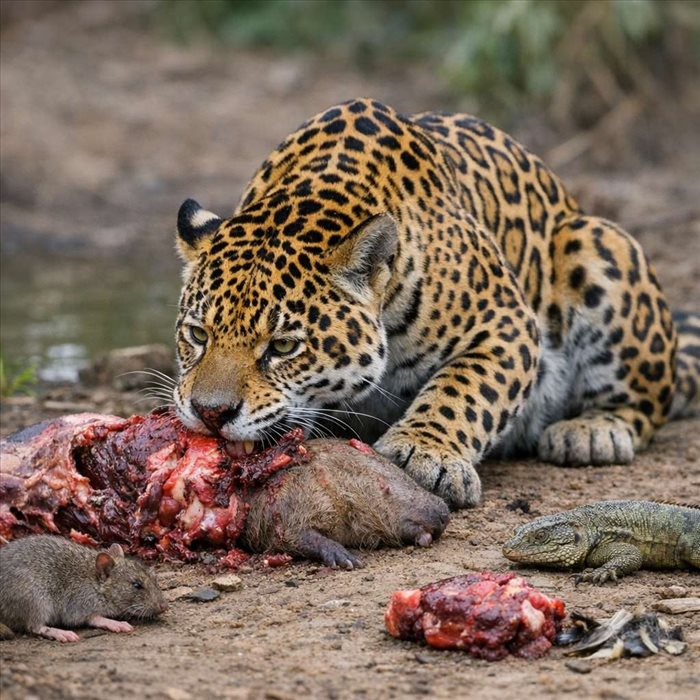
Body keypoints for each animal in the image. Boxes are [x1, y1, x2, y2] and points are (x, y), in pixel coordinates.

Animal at [172, 98, 699, 509]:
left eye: (283, 347)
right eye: (197, 335)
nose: (211, 414)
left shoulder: (505, 324)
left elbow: (465, 389)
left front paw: (423, 452)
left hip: (599, 245)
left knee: (645, 401)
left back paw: (591, 432)